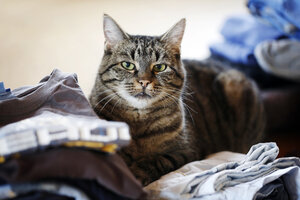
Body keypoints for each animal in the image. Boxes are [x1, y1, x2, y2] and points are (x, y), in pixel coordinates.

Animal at [89, 14, 264, 186]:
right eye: (127, 65)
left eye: (160, 67)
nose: (144, 82)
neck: (139, 122)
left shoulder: (187, 150)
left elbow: (158, 160)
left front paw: (137, 173)